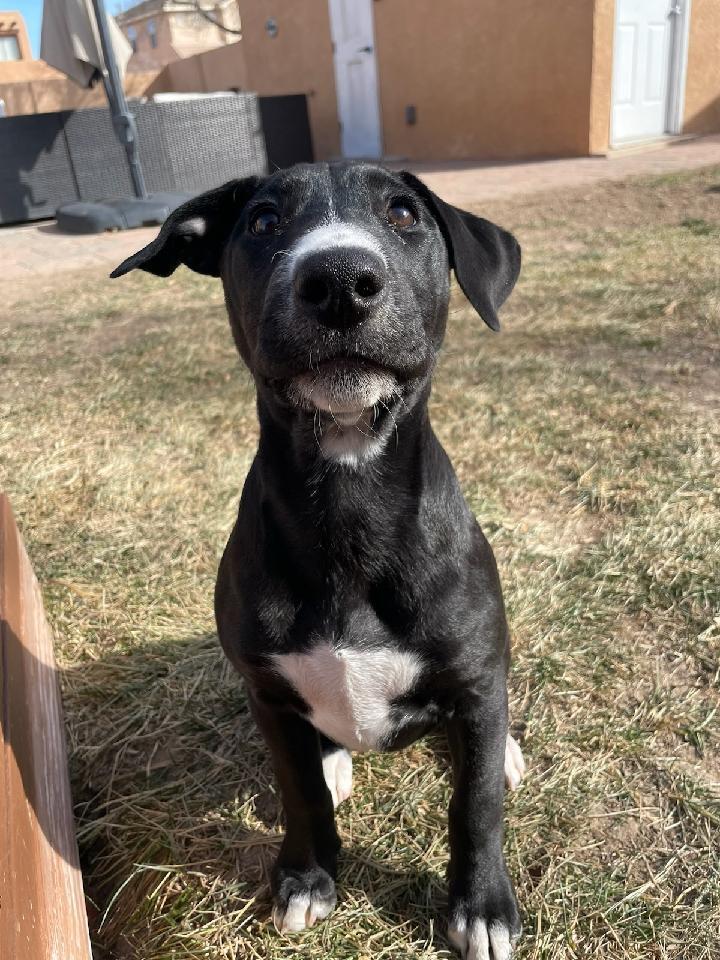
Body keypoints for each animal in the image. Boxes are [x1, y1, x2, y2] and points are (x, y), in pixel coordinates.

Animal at [114, 161, 528, 956]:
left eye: (403, 214)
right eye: (263, 221)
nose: (339, 279)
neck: (347, 503)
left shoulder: (473, 676)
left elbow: (475, 802)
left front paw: (483, 907)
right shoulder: (268, 693)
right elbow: (298, 789)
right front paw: (307, 878)